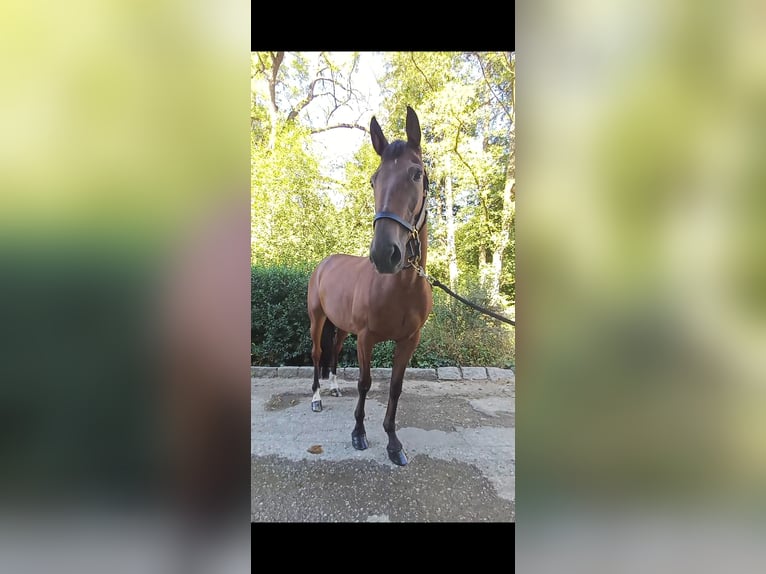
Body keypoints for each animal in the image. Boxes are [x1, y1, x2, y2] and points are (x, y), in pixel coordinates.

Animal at [306, 106, 433, 466]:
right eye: (374, 180)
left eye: (416, 174)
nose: (384, 254)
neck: (399, 289)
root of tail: (325, 262)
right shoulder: (366, 337)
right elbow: (365, 383)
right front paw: (358, 433)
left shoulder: (408, 340)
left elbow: (394, 387)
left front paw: (393, 442)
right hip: (318, 318)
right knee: (317, 352)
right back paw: (317, 398)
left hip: (341, 325)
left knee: (334, 351)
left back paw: (334, 387)